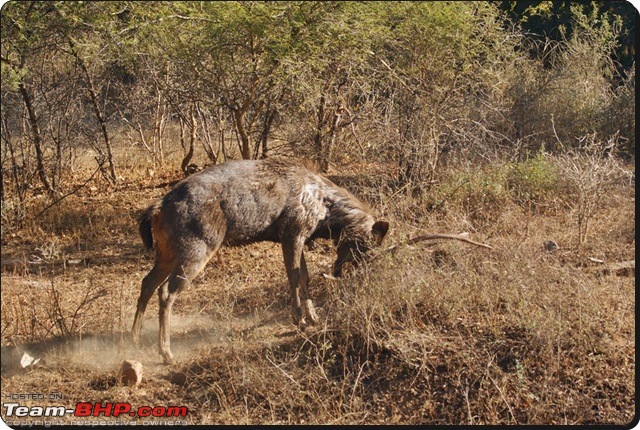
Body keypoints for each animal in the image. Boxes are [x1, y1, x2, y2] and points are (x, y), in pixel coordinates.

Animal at [132, 158, 388, 362]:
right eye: (367, 247)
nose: (354, 272)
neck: (324, 215)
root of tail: (156, 209)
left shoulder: (298, 237)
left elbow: (305, 277)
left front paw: (313, 317)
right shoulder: (292, 232)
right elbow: (294, 276)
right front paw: (299, 319)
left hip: (166, 252)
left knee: (147, 283)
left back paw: (134, 336)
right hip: (197, 248)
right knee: (166, 291)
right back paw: (166, 352)